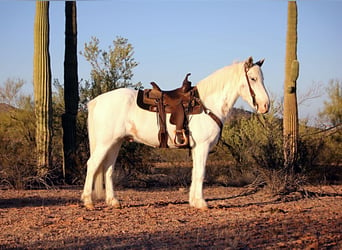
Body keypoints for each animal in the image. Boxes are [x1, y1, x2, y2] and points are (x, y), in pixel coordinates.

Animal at [81, 56, 270, 209]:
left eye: (263, 78)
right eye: (253, 78)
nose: (265, 106)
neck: (206, 105)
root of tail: (96, 101)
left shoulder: (196, 148)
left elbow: (195, 172)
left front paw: (194, 201)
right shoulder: (202, 146)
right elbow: (201, 173)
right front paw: (201, 203)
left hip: (115, 143)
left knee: (108, 169)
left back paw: (113, 201)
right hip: (105, 143)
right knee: (92, 164)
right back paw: (88, 202)